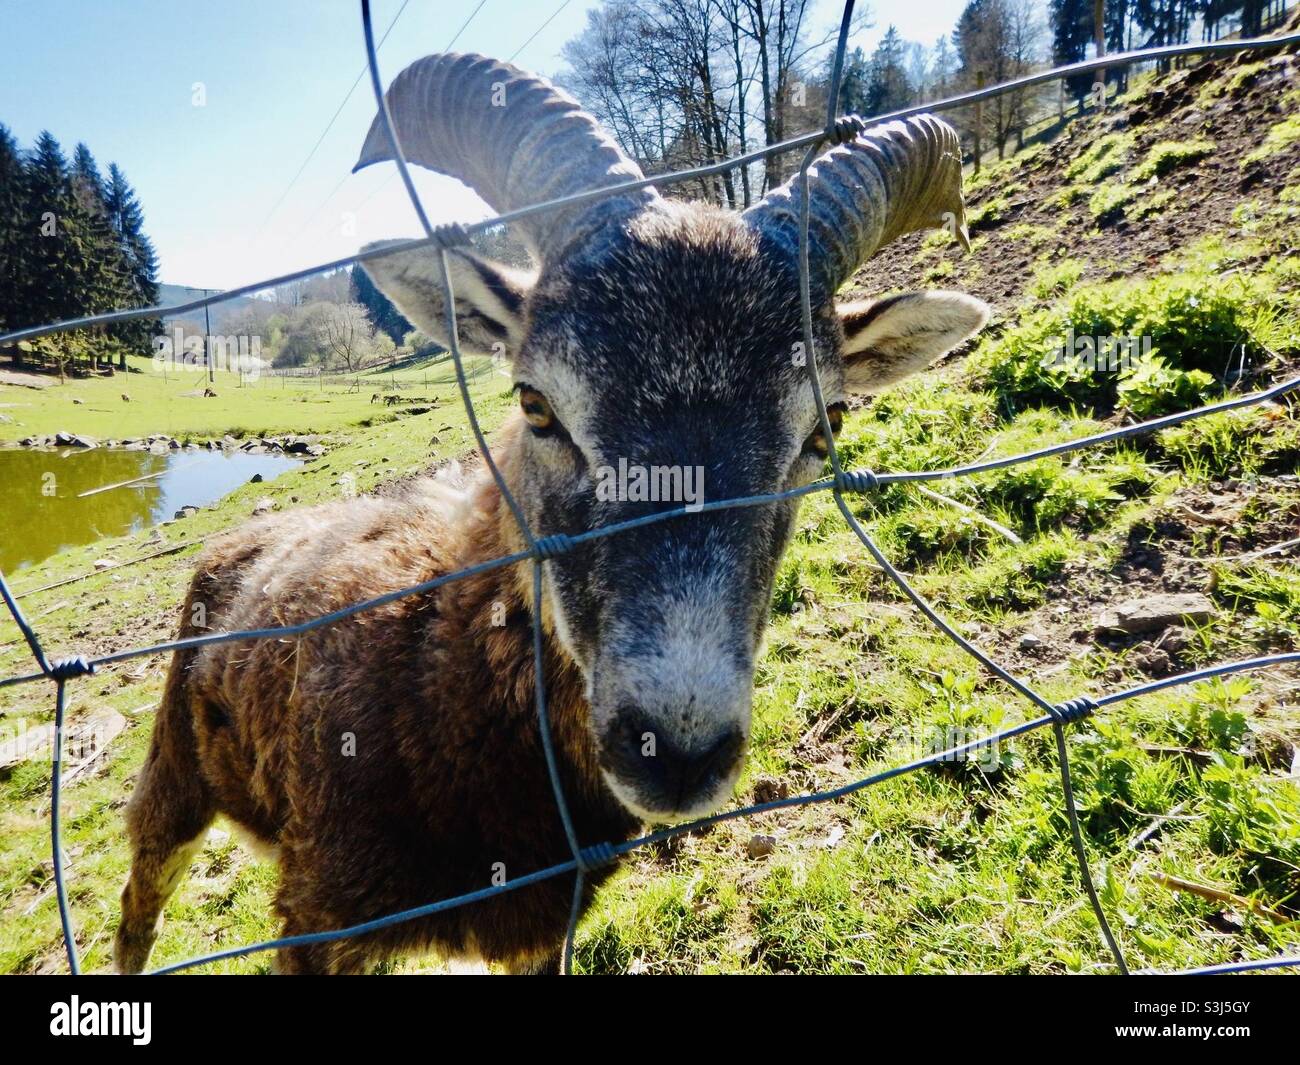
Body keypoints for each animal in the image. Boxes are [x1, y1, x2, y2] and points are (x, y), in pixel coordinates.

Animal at [116, 52, 989, 975]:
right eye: (535, 403)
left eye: (825, 428)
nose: (676, 749)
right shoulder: (317, 917)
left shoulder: (545, 926)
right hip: (172, 779)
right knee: (139, 906)